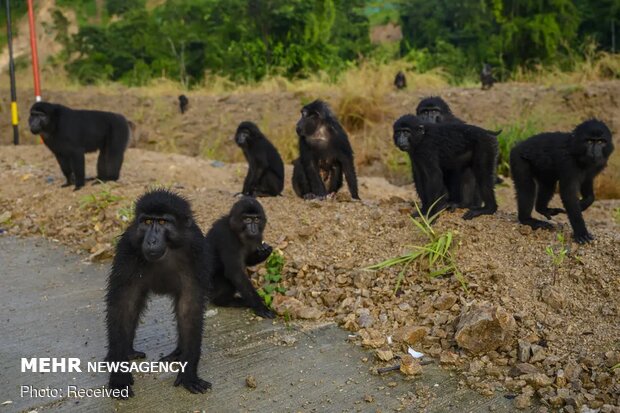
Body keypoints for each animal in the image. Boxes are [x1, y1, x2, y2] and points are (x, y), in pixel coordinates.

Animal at [106, 189, 211, 396]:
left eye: (162, 222)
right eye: (147, 221)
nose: (151, 240)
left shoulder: (196, 250)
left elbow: (189, 307)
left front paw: (189, 373)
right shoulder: (128, 247)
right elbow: (124, 305)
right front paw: (119, 373)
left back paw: (178, 354)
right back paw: (127, 352)